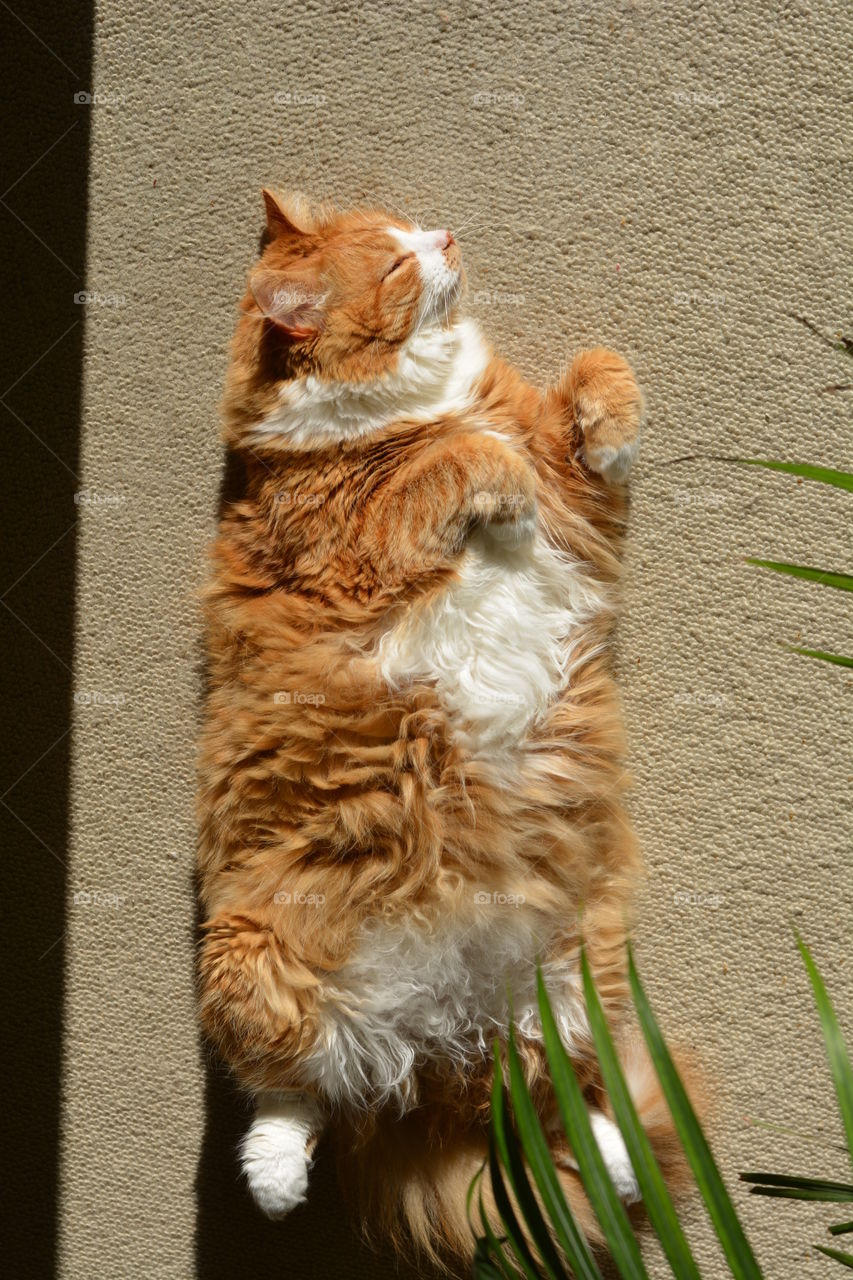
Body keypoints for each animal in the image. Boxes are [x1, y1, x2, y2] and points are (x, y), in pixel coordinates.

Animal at [195, 192, 676, 1269]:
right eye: (392, 266)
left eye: (402, 228)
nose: (444, 238)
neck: (428, 402)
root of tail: (440, 1048)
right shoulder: (351, 543)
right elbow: (450, 467)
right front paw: (485, 476)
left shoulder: (577, 502)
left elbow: (587, 386)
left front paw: (601, 402)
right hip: (249, 966)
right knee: (290, 1097)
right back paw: (275, 1188)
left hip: (581, 974)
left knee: (578, 1099)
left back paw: (624, 1168)